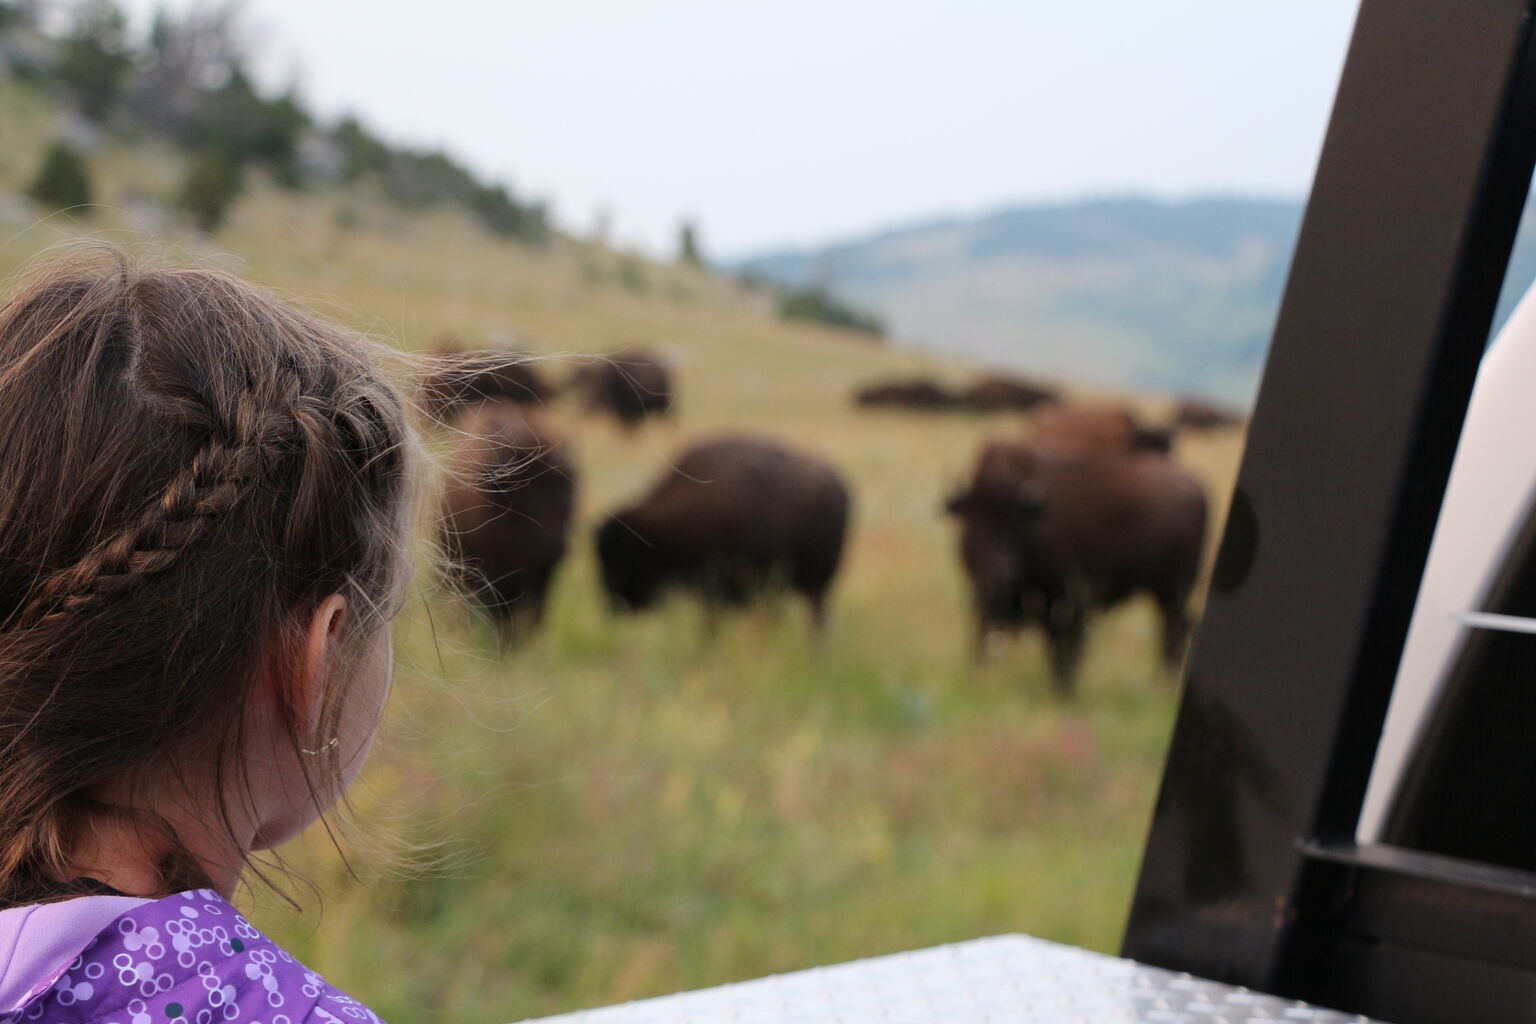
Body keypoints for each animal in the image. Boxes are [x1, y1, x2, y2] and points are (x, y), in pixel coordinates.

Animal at [940, 442, 1204, 696]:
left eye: (1015, 518)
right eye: (975, 516)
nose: (1001, 570)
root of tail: (1197, 489)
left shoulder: (1068, 604)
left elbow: (1064, 654)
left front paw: (1064, 691)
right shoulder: (986, 605)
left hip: (1172, 594)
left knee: (1174, 634)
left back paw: (1162, 686)